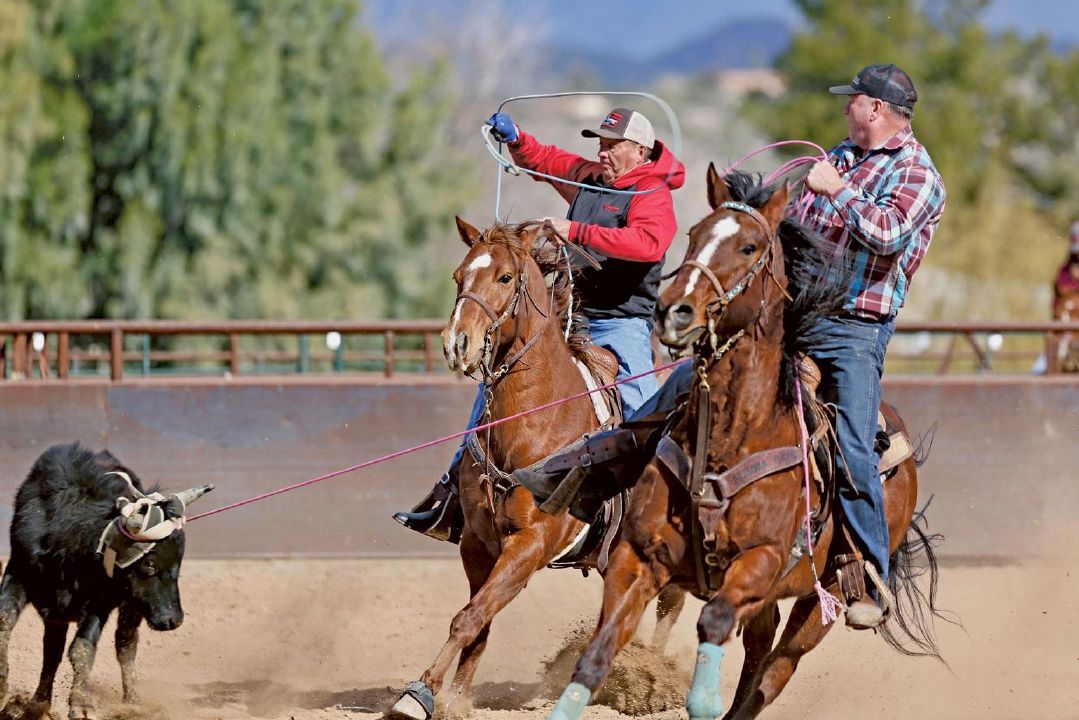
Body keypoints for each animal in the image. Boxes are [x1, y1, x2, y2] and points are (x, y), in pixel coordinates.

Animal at [388, 218, 681, 720]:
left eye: (505, 277)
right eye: (458, 275)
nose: (456, 343)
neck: (535, 421)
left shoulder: (531, 544)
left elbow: (469, 617)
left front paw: (420, 693)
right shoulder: (478, 542)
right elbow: (478, 620)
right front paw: (454, 698)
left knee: (671, 605)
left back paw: (653, 677)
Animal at [543, 170, 940, 720]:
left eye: (749, 246)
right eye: (693, 235)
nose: (675, 311)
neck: (731, 438)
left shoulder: (763, 559)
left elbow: (713, 620)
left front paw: (703, 698)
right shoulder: (638, 556)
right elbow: (596, 656)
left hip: (824, 598)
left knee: (775, 670)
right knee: (758, 648)